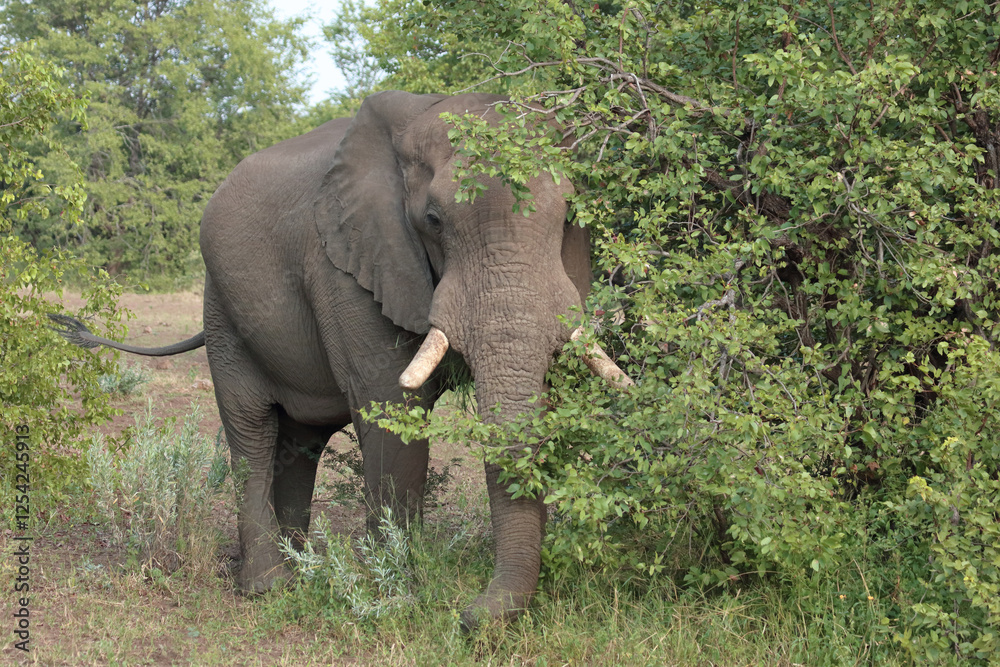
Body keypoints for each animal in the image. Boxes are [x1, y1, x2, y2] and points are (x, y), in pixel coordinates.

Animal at [51, 90, 629, 629]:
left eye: (568, 219)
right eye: (434, 220)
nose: (469, 616)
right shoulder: (348, 266)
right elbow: (391, 405)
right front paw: (397, 589)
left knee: (299, 441)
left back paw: (301, 566)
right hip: (222, 310)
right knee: (252, 430)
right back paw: (268, 586)